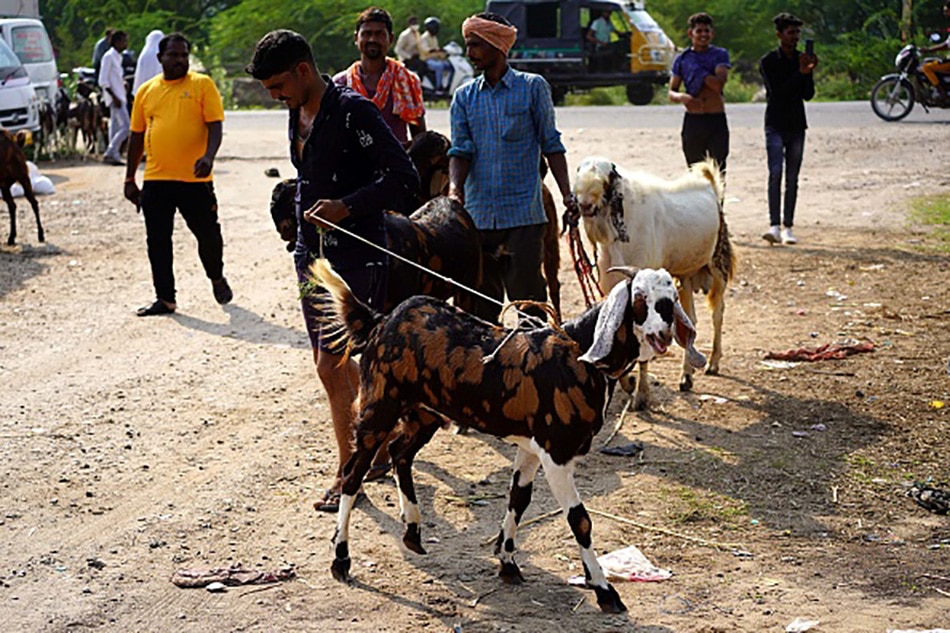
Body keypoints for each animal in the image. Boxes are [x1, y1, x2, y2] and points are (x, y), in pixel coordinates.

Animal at [310, 259, 706, 614]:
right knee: (353, 475)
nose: (663, 334)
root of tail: (381, 321)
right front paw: (604, 591)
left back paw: (412, 531)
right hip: (378, 408)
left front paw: (507, 562)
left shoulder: (531, 449)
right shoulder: (556, 454)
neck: (578, 353)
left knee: (399, 453)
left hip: (423, 414)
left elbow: (519, 499)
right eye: (639, 298)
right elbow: (580, 520)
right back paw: (341, 559)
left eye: (671, 298)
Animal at [573, 156, 735, 410]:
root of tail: (711, 186)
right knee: (691, 320)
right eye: (578, 171)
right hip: (684, 278)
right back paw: (686, 377)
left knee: (717, 313)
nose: (585, 205)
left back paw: (713, 363)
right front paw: (628, 382)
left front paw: (641, 395)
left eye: (607, 177)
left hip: (719, 265)